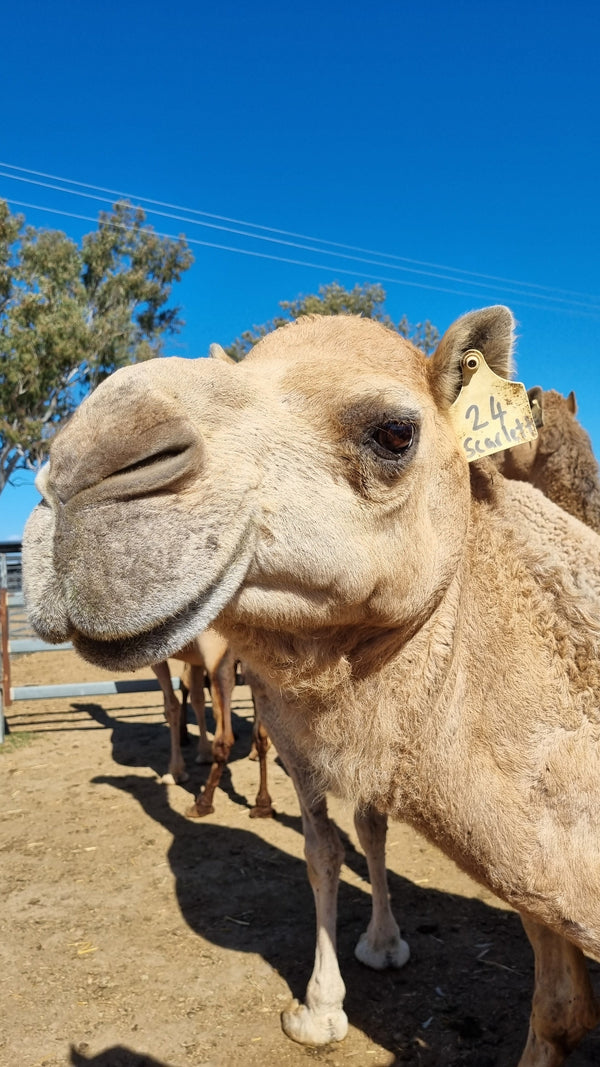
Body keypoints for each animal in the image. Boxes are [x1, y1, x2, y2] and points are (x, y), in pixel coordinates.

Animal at [152, 633, 274, 818]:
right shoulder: (194, 660)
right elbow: (196, 696)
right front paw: (203, 753)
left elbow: (171, 706)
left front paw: (175, 772)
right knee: (261, 736)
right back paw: (263, 805)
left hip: (217, 656)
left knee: (224, 738)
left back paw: (202, 803)